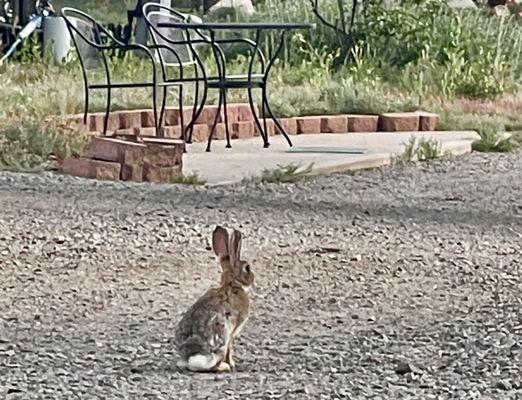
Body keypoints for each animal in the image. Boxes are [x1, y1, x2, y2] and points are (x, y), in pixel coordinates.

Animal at [175, 225, 254, 372]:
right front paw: (232, 363)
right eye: (247, 268)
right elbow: (230, 349)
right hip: (222, 335)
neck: (232, 284)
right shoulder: (233, 331)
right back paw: (224, 366)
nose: (252, 278)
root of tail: (194, 356)